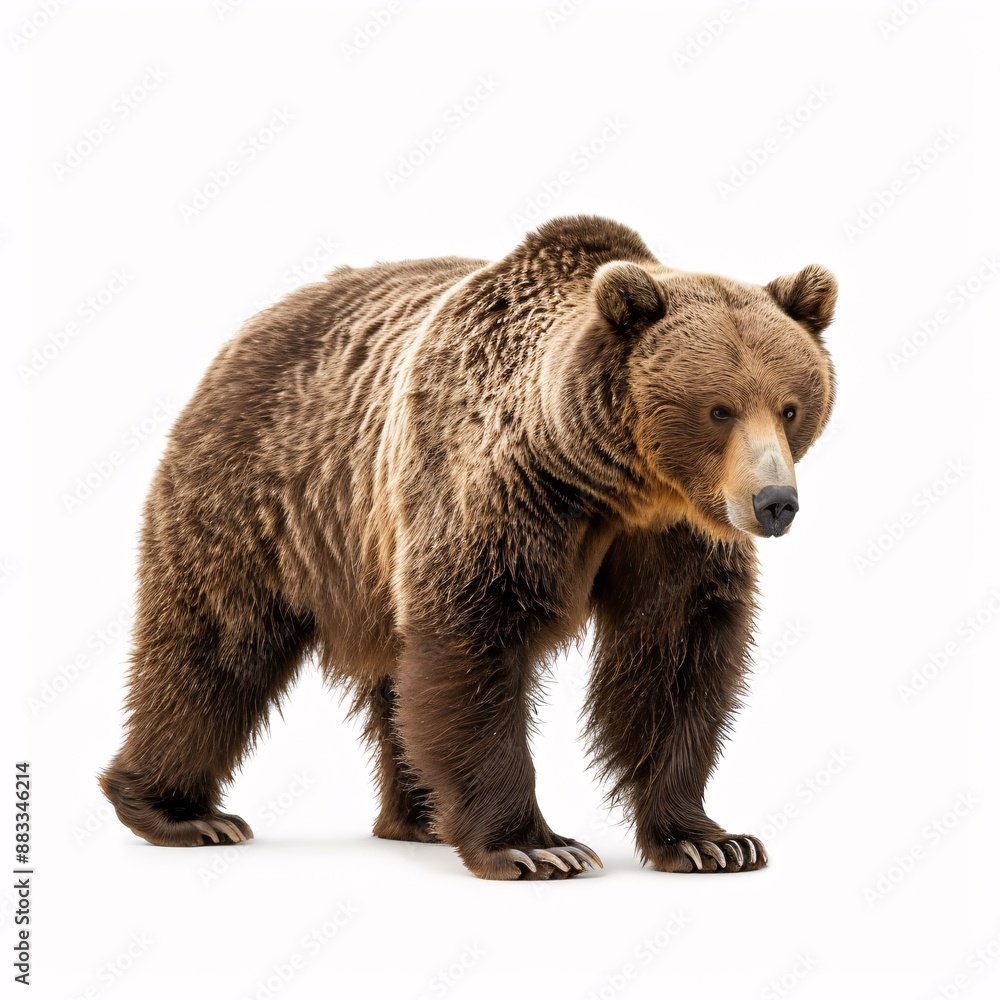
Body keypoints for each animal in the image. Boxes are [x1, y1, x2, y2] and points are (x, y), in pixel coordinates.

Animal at [100, 215, 837, 880]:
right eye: (718, 409)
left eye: (791, 406)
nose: (774, 502)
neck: (610, 481)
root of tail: (250, 326)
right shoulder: (498, 492)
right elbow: (475, 640)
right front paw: (537, 848)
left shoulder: (672, 535)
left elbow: (674, 655)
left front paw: (711, 841)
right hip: (265, 488)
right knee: (215, 642)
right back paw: (181, 812)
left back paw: (420, 815)